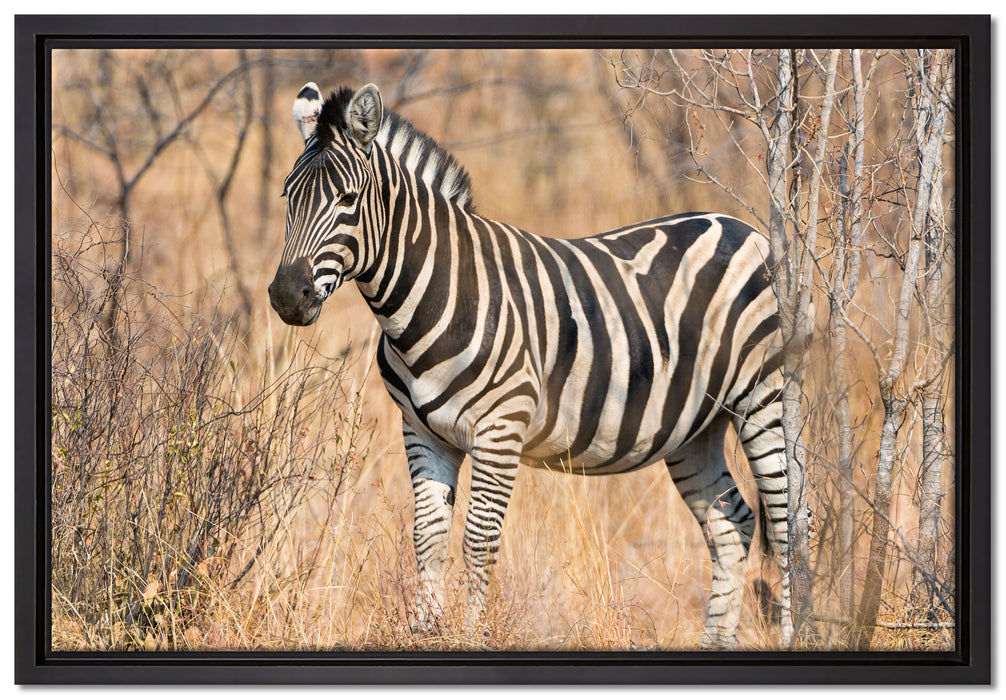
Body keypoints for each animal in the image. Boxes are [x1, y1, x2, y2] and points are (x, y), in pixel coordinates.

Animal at [268, 82, 794, 648]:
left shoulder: (501, 430)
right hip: (695, 426)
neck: (432, 297)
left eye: (347, 199)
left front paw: (471, 638)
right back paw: (717, 641)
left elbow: (478, 541)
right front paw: (427, 633)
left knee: (786, 521)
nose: (287, 296)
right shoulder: (422, 431)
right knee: (732, 524)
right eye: (287, 197)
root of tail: (738, 226)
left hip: (763, 399)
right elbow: (428, 537)